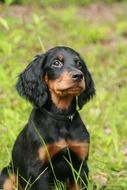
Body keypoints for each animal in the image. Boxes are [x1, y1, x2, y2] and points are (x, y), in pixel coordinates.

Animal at [0, 46, 95, 190]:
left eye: (79, 64)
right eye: (56, 63)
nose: (79, 75)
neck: (61, 118)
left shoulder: (80, 166)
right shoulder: (37, 170)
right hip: (8, 174)